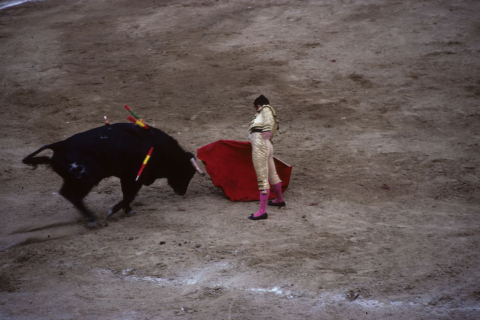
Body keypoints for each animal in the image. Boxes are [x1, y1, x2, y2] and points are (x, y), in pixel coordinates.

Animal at [22, 123, 204, 228]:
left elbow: (128, 195)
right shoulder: (133, 177)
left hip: (77, 179)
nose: (182, 192)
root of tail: (58, 146)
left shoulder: (129, 178)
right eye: (186, 172)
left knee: (66, 193)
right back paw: (92, 219)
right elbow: (129, 195)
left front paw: (127, 210)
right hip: (87, 178)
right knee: (72, 195)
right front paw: (114, 211)